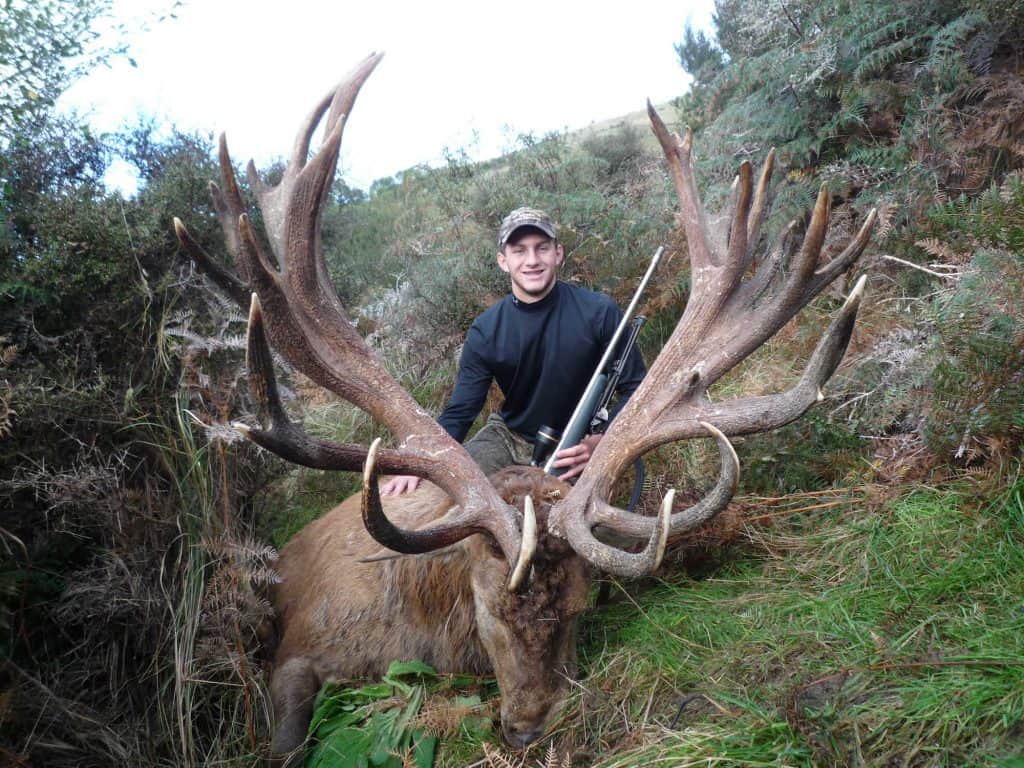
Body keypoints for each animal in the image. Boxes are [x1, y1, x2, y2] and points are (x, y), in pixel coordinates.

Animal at [174, 53, 875, 764]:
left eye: (580, 608)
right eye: (485, 611)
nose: (529, 729)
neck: (421, 625)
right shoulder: (297, 649)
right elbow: (287, 742)